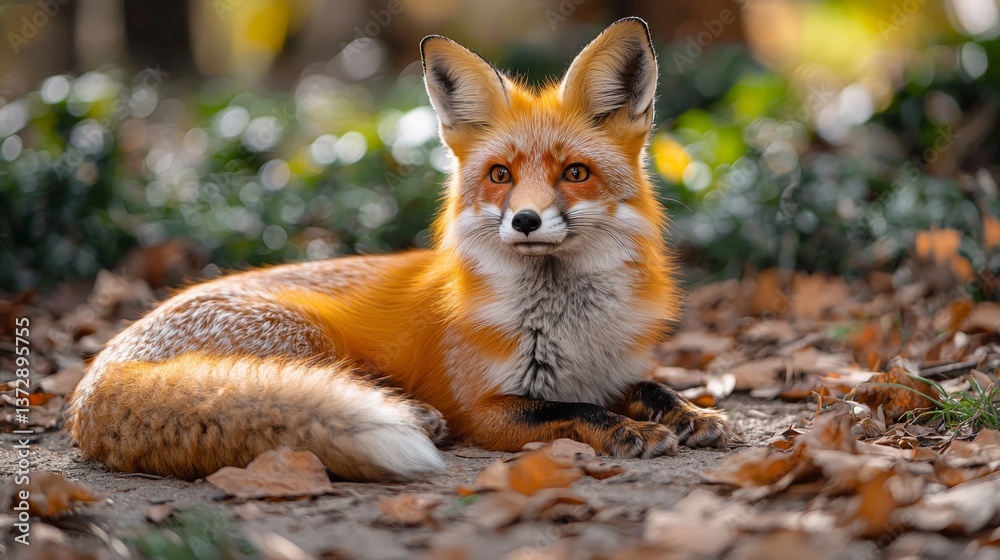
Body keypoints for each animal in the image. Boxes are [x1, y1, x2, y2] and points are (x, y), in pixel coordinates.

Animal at [66, 17, 731, 482]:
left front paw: (692, 412)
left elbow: (650, 387)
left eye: (574, 173)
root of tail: (96, 373)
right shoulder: (488, 409)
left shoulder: (607, 371)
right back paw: (418, 419)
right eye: (500, 175)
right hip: (309, 339)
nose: (525, 220)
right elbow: (572, 411)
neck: (570, 326)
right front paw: (627, 430)